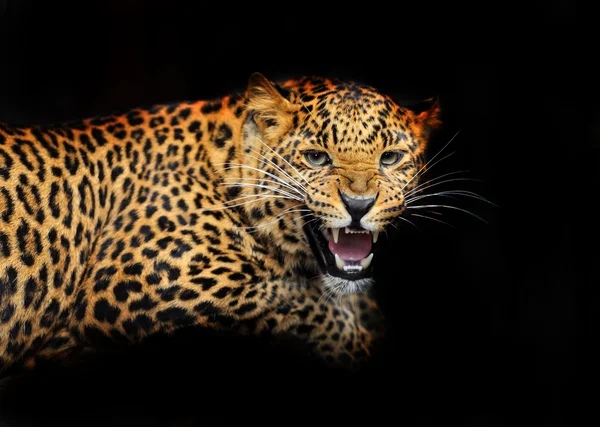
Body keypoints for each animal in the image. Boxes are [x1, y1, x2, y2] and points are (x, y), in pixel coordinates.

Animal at [0, 72, 440, 374]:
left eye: (390, 158)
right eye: (316, 157)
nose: (358, 204)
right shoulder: (138, 277)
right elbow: (288, 296)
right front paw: (354, 339)